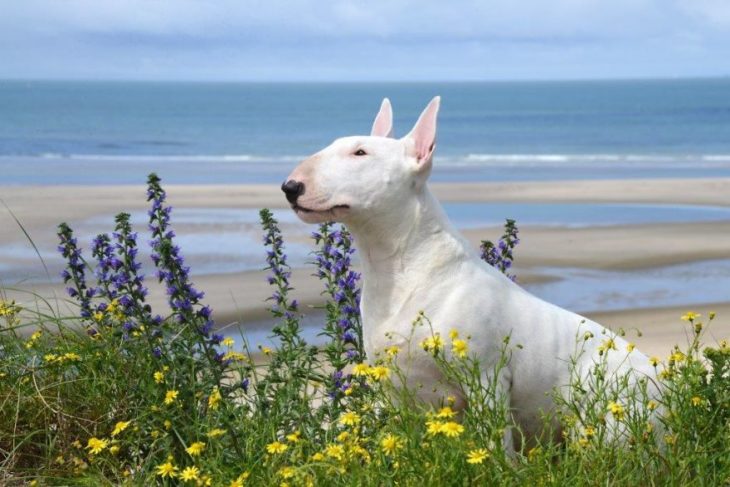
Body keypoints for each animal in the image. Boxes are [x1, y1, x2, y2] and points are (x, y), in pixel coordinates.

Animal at [282, 96, 656, 450]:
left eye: (360, 152)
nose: (290, 187)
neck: (401, 269)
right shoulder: (394, 390)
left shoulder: (487, 379)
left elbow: (496, 445)